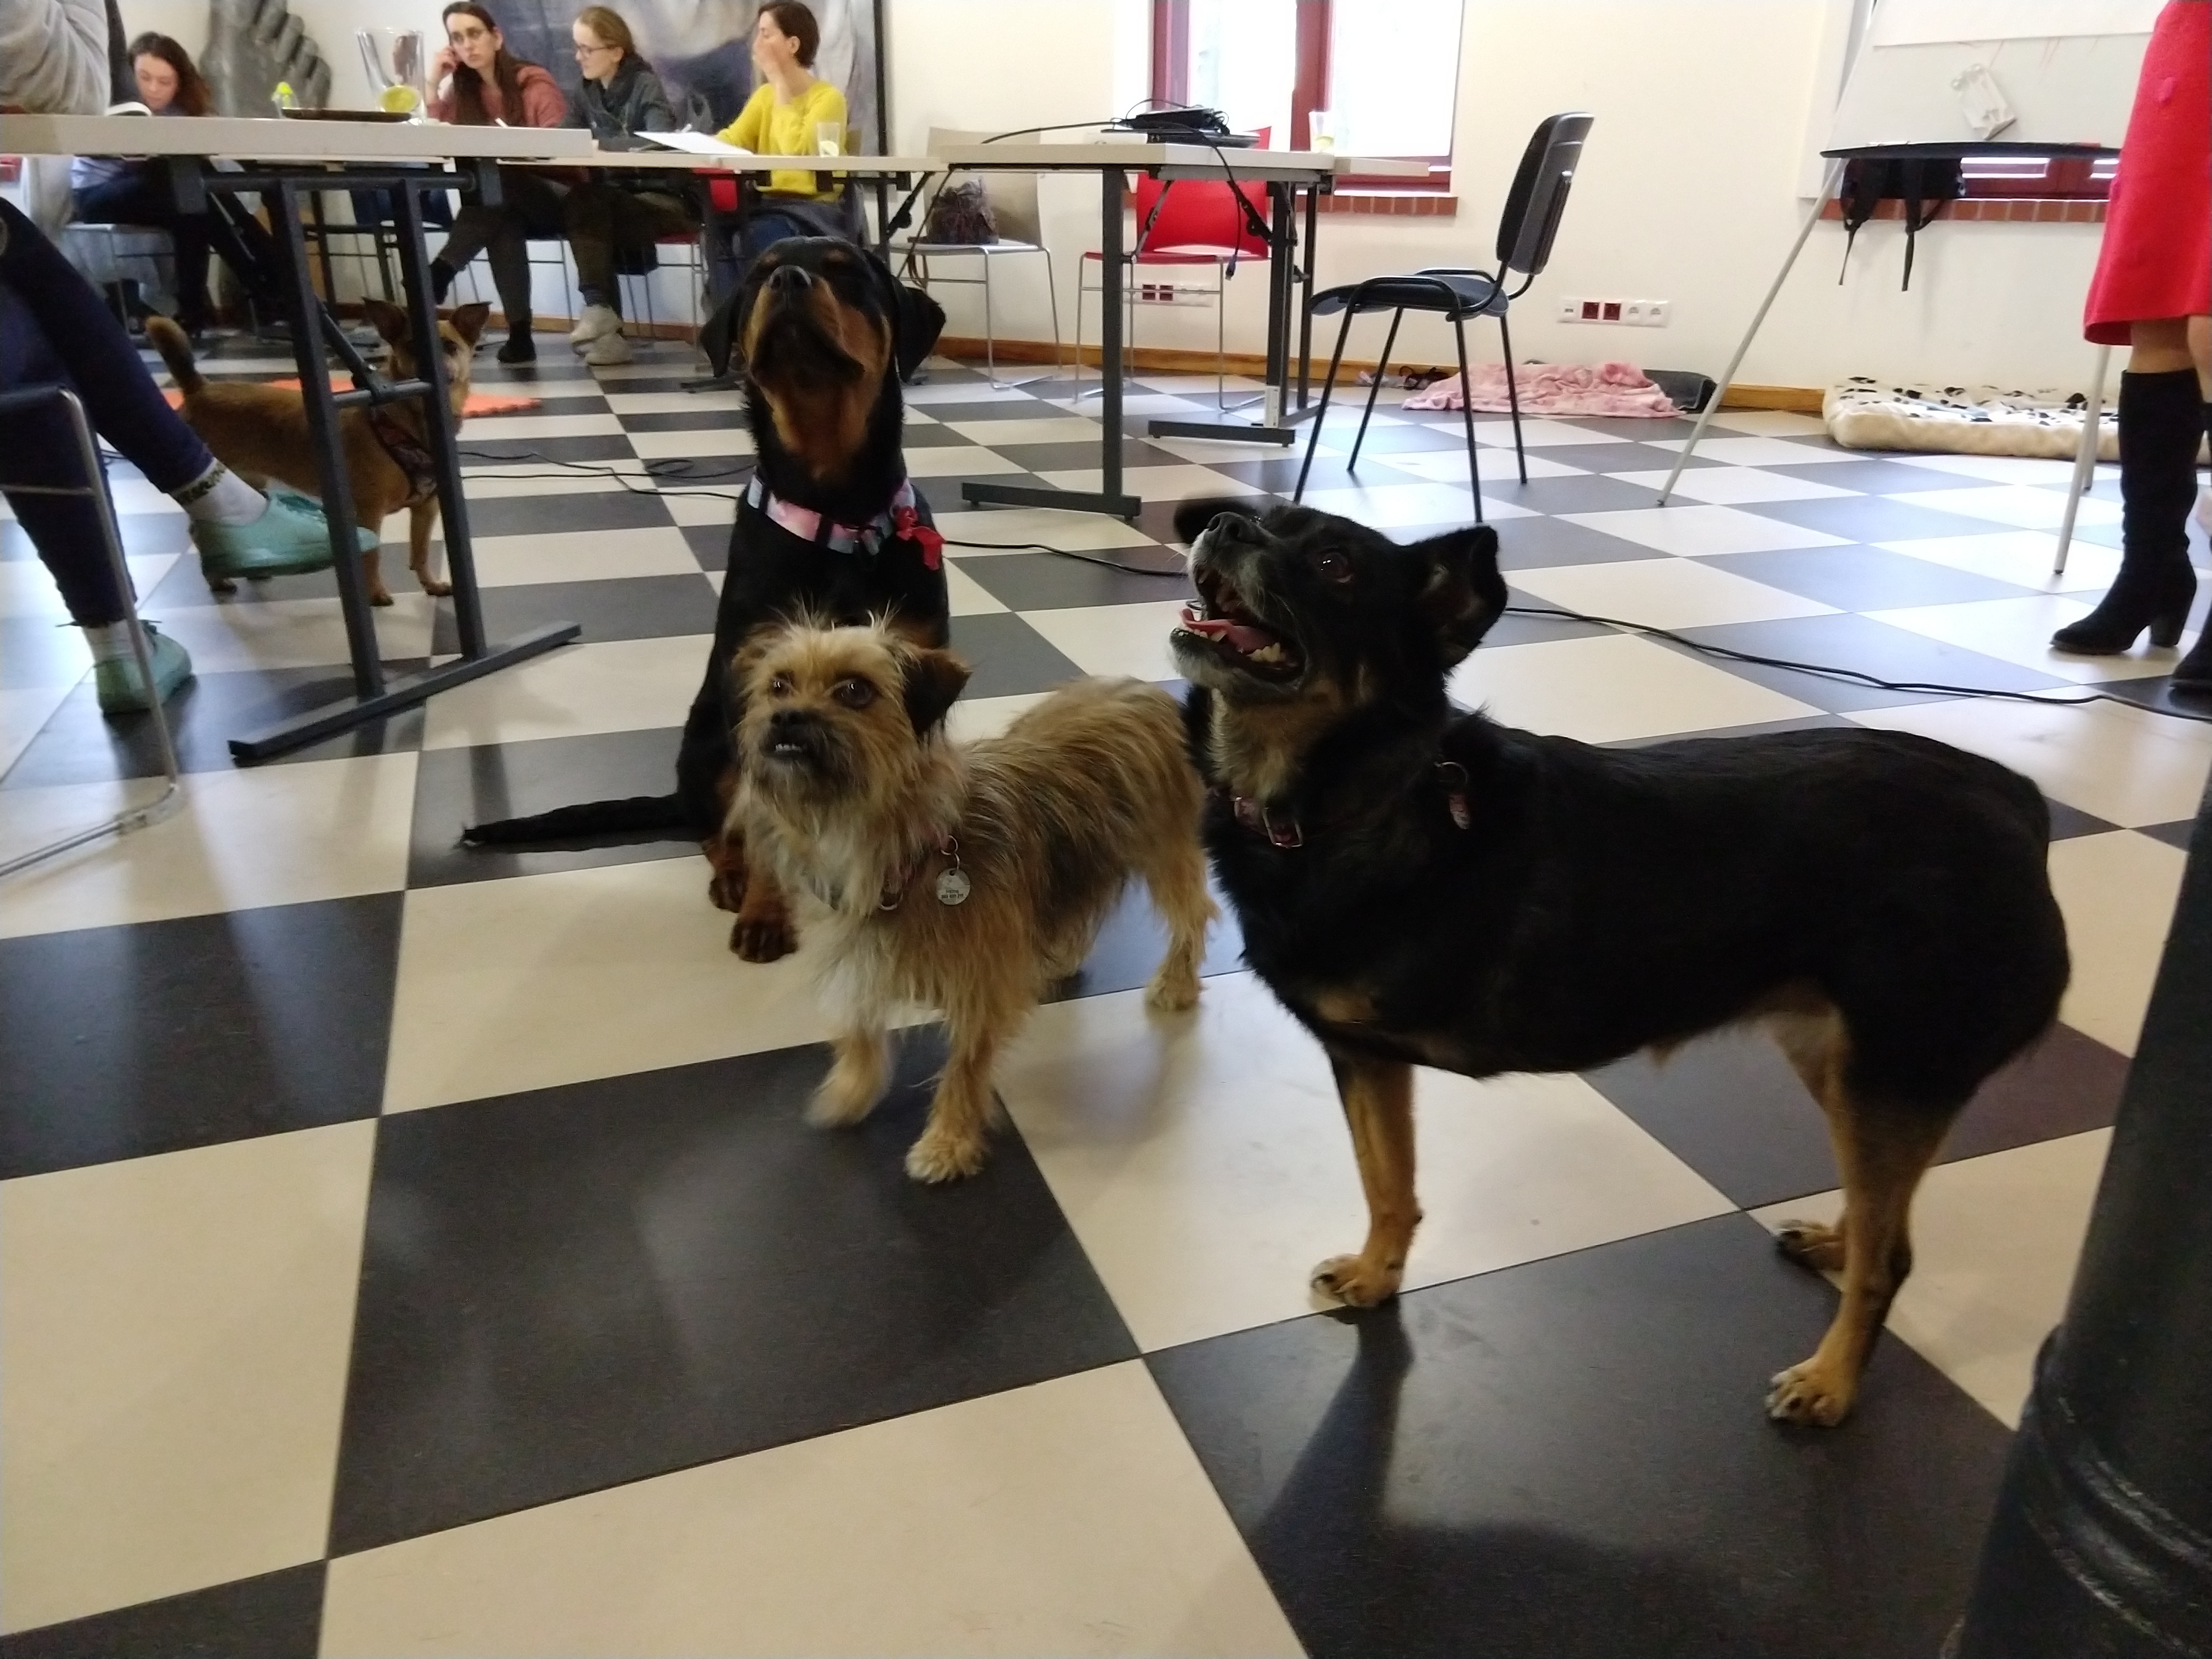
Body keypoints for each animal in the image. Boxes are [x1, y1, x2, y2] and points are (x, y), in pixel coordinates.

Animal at [148, 300, 489, 605]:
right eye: (411, 346)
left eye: (450, 347)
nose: (434, 369)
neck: (408, 419)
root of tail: (199, 388)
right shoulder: (368, 513)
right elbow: (371, 556)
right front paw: (375, 593)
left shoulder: (426, 509)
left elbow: (420, 553)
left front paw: (430, 584)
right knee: (196, 532)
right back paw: (217, 578)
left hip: (249, 481)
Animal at [463, 240, 950, 965]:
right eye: (760, 273)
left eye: (847, 271)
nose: (788, 279)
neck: (837, 508)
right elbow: (762, 814)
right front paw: (765, 913)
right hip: (709, 744)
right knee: (717, 829)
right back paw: (733, 877)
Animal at [733, 619, 1214, 1183]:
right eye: (779, 686)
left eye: (855, 690)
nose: (786, 715)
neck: (906, 845)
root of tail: (1145, 690)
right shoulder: (859, 953)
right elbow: (858, 1030)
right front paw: (852, 1091)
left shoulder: (981, 981)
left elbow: (965, 1064)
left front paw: (949, 1142)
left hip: (1164, 852)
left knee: (1195, 913)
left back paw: (1176, 981)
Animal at [1167, 498, 2070, 1428]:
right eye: (1266, 520)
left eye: (1337, 566)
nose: (1223, 526)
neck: (1355, 797)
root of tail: (2019, 806)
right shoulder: (1366, 1059)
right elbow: (1389, 1185)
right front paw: (1377, 1276)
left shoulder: (1370, 1053)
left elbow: (1389, 1180)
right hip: (1846, 1065)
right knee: (1884, 1218)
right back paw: (1837, 1243)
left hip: (1891, 1073)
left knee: (1891, 1262)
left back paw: (1832, 1383)